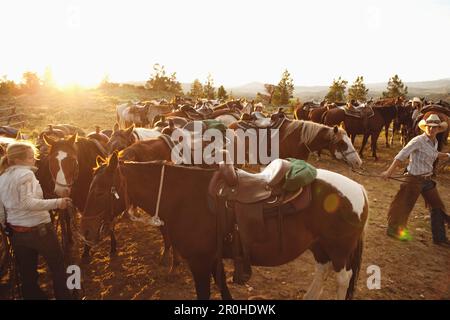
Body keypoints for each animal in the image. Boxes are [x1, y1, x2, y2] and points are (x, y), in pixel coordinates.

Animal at [80, 153, 370, 300]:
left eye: (99, 191)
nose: (85, 232)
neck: (183, 197)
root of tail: (359, 190)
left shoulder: (199, 260)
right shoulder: (212, 257)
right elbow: (222, 286)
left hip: (339, 250)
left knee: (342, 279)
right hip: (319, 245)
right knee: (322, 270)